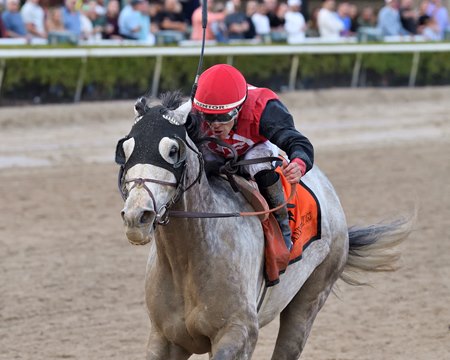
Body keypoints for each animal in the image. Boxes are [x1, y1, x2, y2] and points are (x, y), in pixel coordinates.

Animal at [116, 93, 412, 360]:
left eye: (173, 150)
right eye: (126, 150)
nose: (137, 216)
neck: (187, 260)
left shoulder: (240, 333)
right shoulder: (165, 339)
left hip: (310, 299)